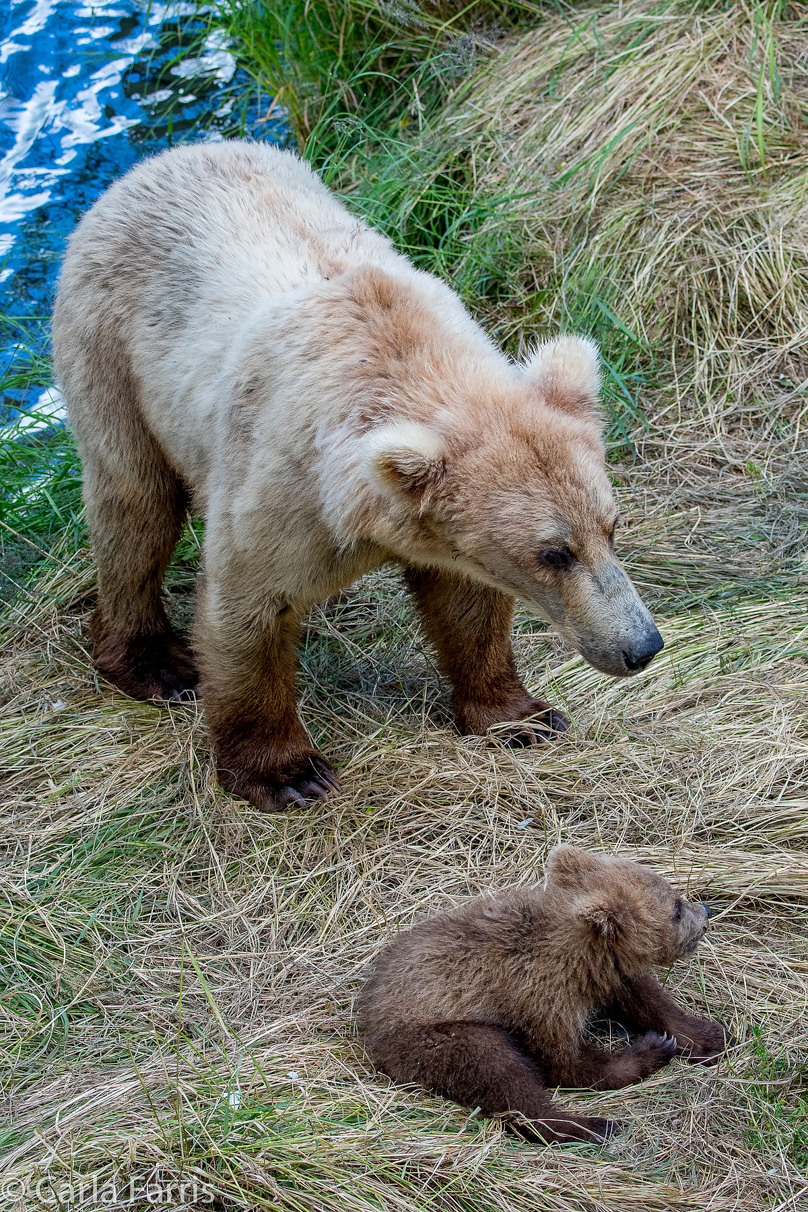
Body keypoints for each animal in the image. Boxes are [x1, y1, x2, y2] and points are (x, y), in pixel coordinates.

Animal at [55, 141, 663, 809]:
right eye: (553, 552)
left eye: (611, 526)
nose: (641, 646)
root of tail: (159, 159)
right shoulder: (283, 483)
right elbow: (250, 608)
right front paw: (289, 774)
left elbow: (468, 605)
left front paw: (521, 715)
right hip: (111, 351)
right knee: (135, 505)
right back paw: (153, 662)